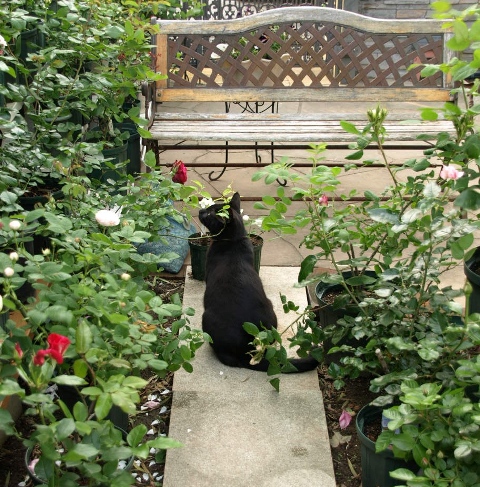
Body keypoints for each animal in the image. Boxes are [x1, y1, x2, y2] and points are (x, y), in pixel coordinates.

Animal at [199, 193, 318, 372]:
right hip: (271, 308)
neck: (234, 240)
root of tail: (248, 352)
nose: (201, 210)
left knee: (227, 358)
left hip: (206, 317)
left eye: (209, 213)